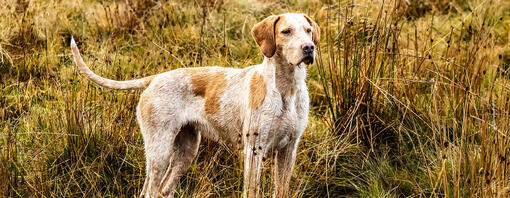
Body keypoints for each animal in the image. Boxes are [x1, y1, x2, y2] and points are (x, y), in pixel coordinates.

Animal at [70, 12, 320, 198]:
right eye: (286, 31)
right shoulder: (254, 150)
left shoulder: (288, 150)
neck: (286, 89)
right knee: (149, 191)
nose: (309, 47)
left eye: (308, 30)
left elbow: (282, 188)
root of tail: (155, 78)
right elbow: (252, 190)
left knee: (164, 190)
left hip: (186, 150)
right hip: (159, 151)